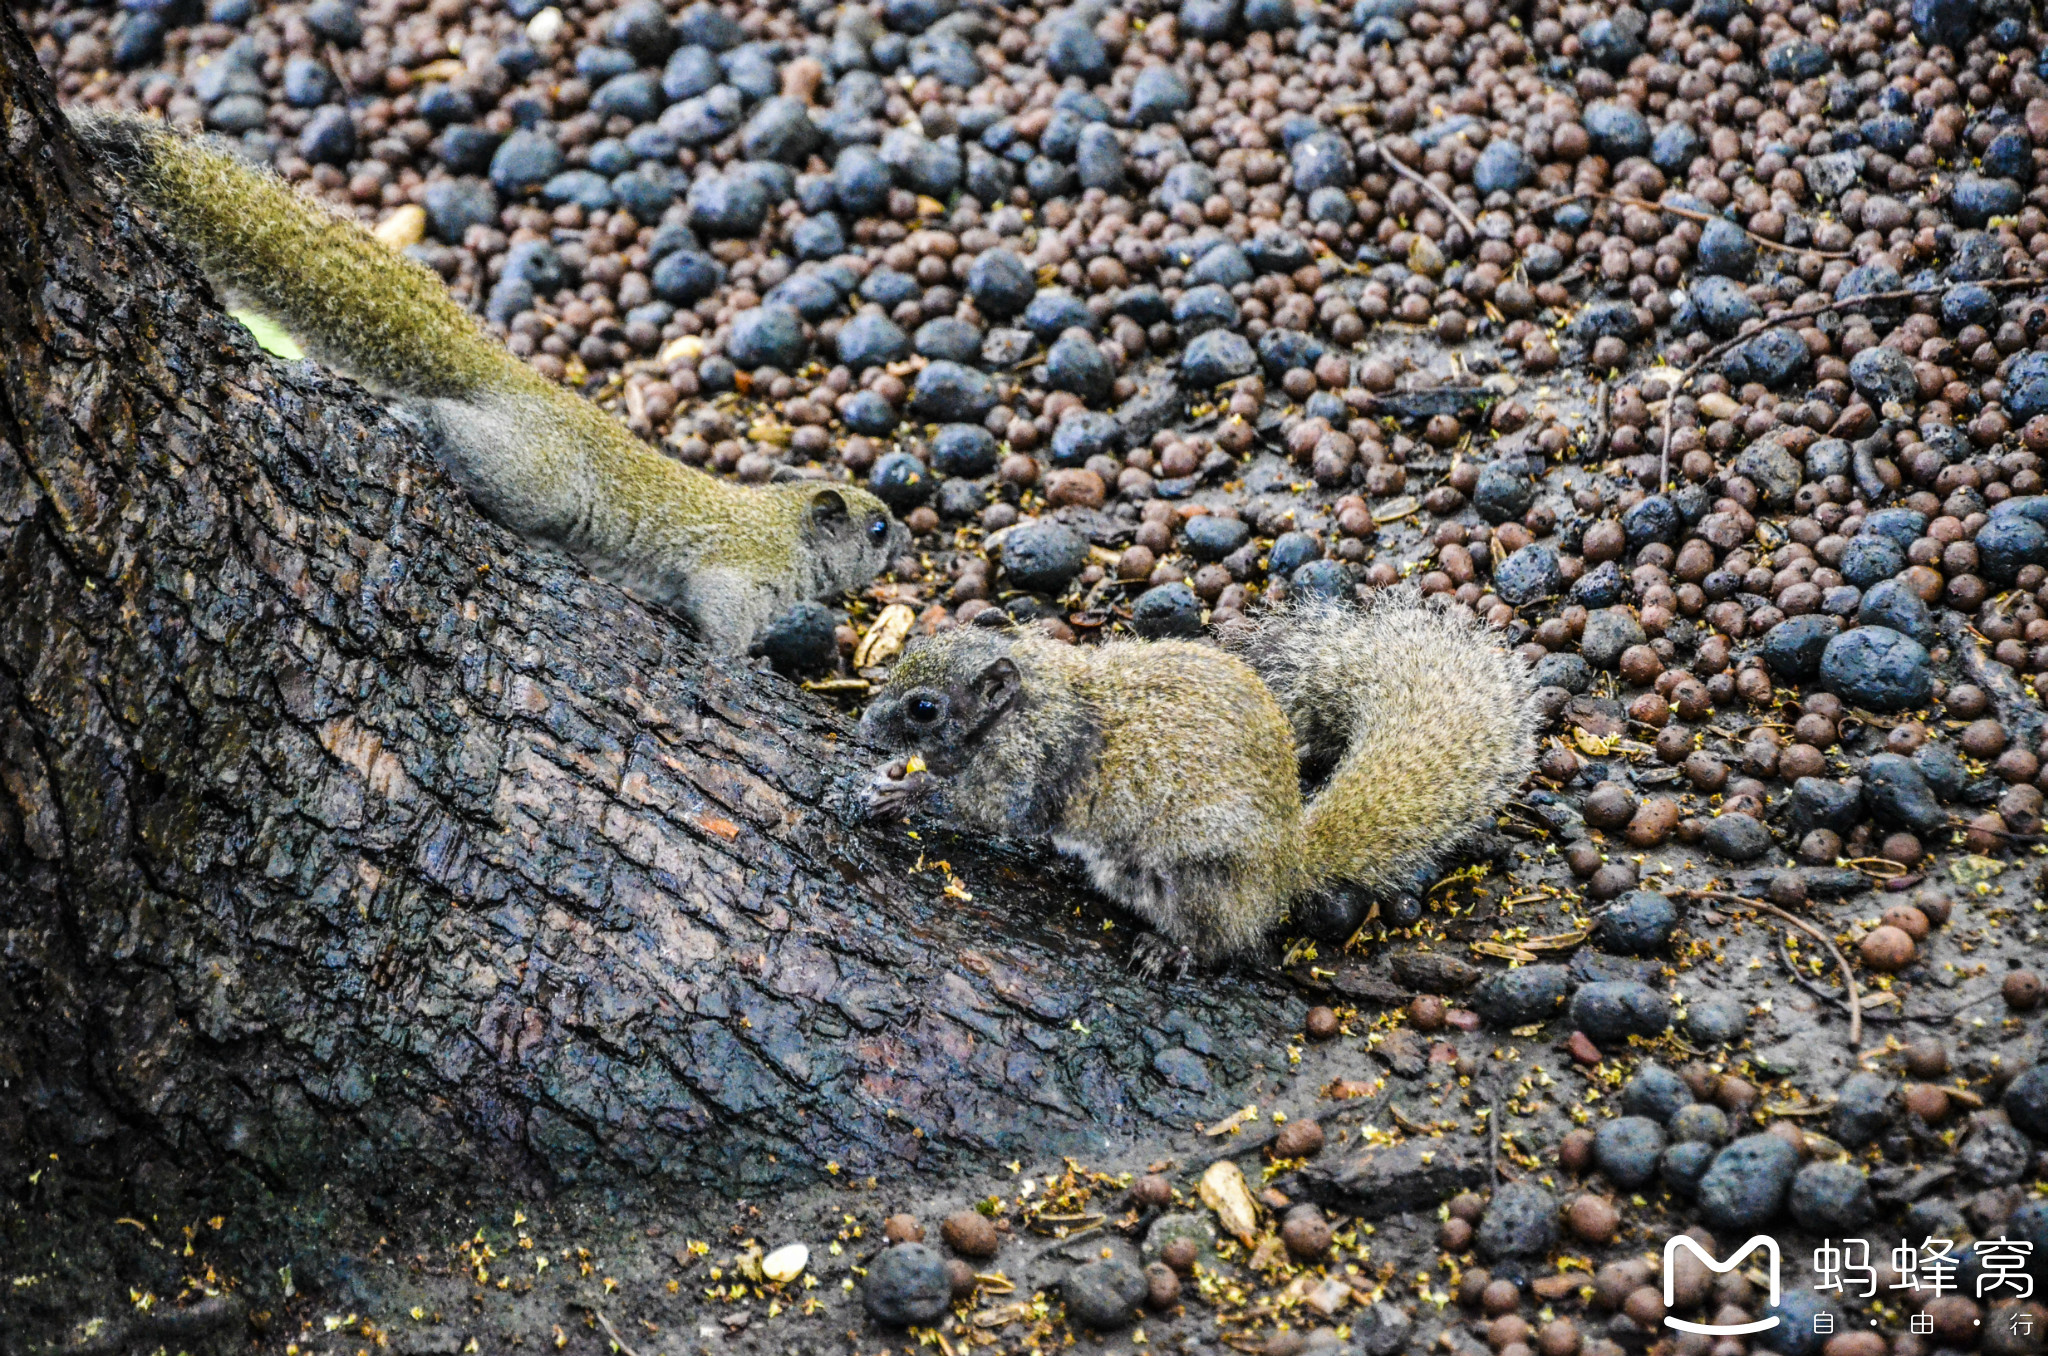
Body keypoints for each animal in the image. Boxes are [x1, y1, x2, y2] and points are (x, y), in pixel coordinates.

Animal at [70, 114, 905, 655]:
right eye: (876, 528)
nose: (898, 545)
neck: (780, 525)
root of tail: (516, 383)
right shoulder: (735, 577)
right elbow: (720, 624)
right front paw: (740, 668)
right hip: (542, 481)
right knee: (455, 423)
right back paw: (424, 419)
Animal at [860, 594, 1540, 979]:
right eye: (912, 648)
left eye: (924, 707)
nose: (865, 720)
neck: (1035, 696)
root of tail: (1289, 863)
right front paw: (897, 774)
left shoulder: (1028, 770)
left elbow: (985, 808)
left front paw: (906, 791)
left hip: (1199, 878)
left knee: (1224, 939)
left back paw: (1171, 950)